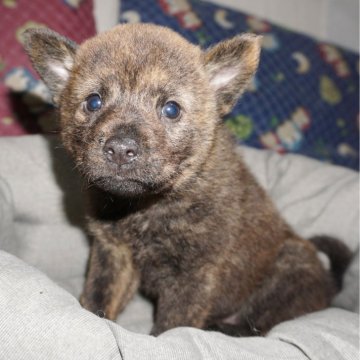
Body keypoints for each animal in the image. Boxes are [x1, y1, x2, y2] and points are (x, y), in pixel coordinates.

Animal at [23, 23, 352, 336]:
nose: (120, 149)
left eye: (171, 109)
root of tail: (329, 287)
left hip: (290, 266)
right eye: (93, 102)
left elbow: (172, 327)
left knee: (261, 323)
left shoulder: (194, 275)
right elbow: (98, 299)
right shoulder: (114, 254)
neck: (145, 206)